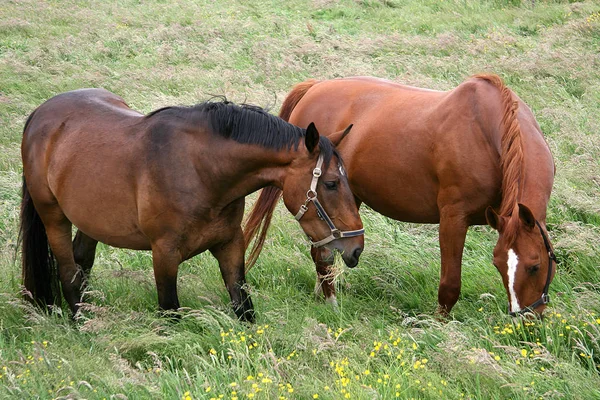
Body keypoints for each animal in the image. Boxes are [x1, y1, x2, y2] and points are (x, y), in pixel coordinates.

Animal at [19, 89, 360, 324]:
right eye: (331, 183)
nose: (356, 248)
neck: (202, 171)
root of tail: (40, 113)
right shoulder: (164, 254)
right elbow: (170, 313)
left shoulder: (230, 244)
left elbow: (243, 307)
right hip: (54, 218)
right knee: (68, 272)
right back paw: (82, 322)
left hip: (91, 219)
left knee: (82, 260)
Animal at [245, 75, 556, 318]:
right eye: (500, 264)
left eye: (536, 265)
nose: (527, 317)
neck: (489, 134)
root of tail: (314, 87)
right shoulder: (453, 219)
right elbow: (450, 285)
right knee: (322, 256)